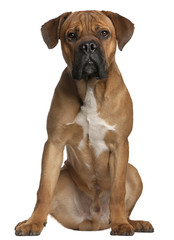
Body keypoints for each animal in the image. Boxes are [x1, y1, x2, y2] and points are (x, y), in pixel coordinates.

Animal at [14, 10, 154, 235]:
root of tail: (94, 220)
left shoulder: (120, 145)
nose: (88, 46)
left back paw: (132, 222)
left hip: (133, 172)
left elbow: (118, 192)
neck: (90, 87)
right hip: (61, 175)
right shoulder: (54, 144)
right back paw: (32, 220)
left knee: (125, 204)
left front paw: (121, 224)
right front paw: (33, 222)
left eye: (104, 33)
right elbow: (43, 190)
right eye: (71, 36)